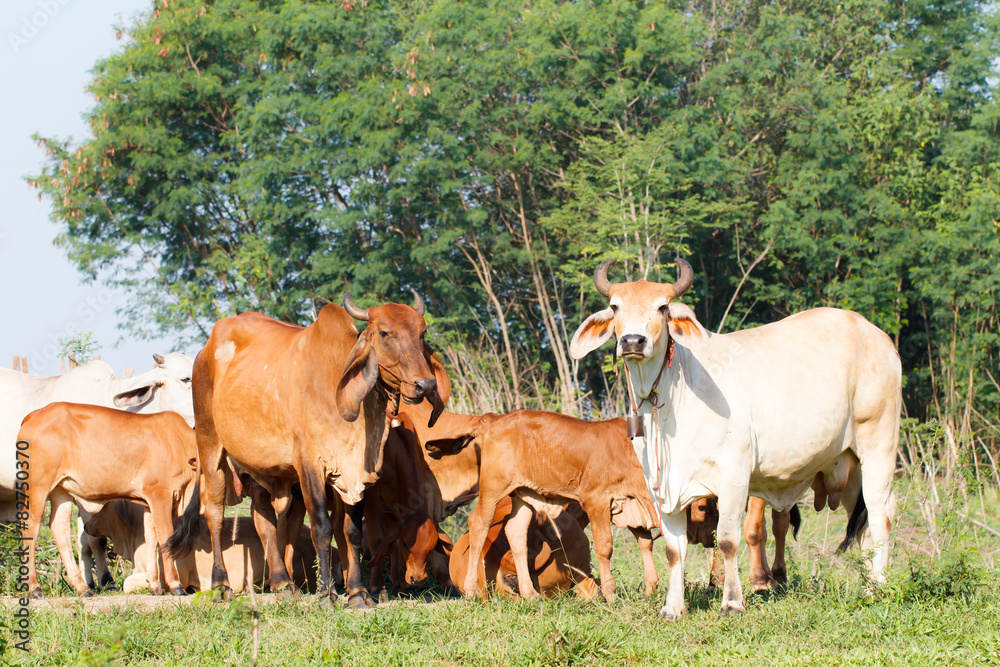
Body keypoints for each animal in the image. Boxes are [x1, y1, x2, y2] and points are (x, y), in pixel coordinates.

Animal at [19, 404, 197, 596]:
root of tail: (35, 414)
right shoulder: (160, 495)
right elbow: (165, 537)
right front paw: (175, 585)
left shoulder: (149, 502)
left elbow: (151, 538)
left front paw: (155, 586)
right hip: (38, 487)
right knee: (31, 526)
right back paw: (34, 587)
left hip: (61, 491)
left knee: (59, 528)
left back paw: (82, 587)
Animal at [167, 294, 446, 608]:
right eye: (385, 333)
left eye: (422, 333)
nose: (425, 385)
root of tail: (204, 350)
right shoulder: (309, 465)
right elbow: (322, 528)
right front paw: (327, 594)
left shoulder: (356, 474)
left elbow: (352, 532)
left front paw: (358, 593)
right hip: (210, 445)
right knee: (214, 513)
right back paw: (220, 584)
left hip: (259, 467)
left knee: (262, 518)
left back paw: (282, 583)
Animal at [568, 258, 904, 620]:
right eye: (615, 306)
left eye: (663, 307)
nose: (633, 341)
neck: (670, 399)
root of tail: (877, 336)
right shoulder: (661, 488)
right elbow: (673, 550)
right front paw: (672, 607)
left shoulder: (734, 475)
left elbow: (728, 540)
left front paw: (732, 602)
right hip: (848, 465)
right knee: (865, 526)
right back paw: (868, 584)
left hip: (879, 447)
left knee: (882, 514)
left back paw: (878, 587)